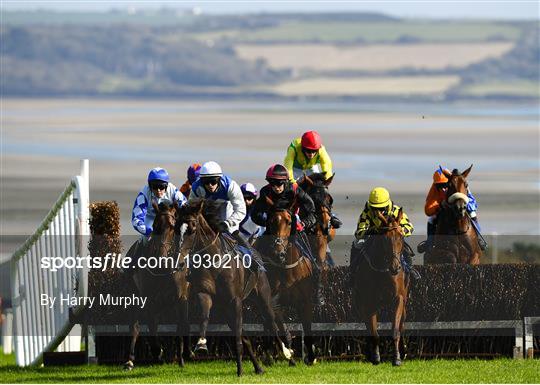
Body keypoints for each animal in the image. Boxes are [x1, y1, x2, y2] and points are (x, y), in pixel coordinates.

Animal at [123, 201, 191, 368]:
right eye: (154, 226)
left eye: (173, 226)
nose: (161, 256)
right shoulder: (148, 299)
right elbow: (151, 326)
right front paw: (158, 352)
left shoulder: (181, 297)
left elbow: (182, 324)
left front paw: (182, 358)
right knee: (135, 326)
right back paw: (130, 360)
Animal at [255, 196, 318, 364]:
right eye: (270, 221)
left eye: (289, 222)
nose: (278, 253)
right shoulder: (274, 302)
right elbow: (281, 328)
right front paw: (287, 352)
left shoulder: (305, 301)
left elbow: (307, 326)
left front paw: (311, 356)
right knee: (269, 324)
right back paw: (271, 355)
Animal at [350, 208, 410, 364]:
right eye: (385, 239)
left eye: (401, 237)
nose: (395, 267)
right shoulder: (369, 302)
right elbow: (374, 332)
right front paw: (376, 357)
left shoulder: (398, 299)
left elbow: (395, 329)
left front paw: (397, 358)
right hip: (360, 304)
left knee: (402, 324)